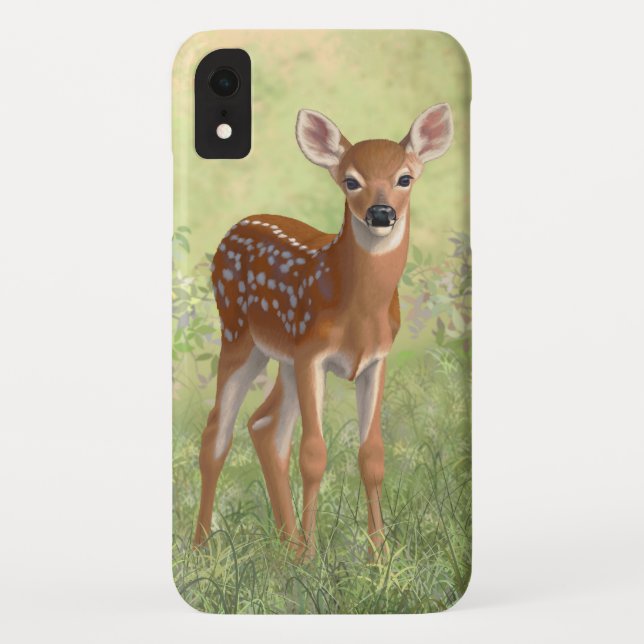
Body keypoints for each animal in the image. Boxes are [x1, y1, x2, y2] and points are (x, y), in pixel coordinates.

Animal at [193, 103, 454, 557]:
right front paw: (316, 557)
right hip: (239, 336)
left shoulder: (375, 360)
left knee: (265, 427)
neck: (359, 312)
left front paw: (378, 557)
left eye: (405, 178)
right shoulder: (312, 355)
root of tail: (237, 225)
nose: (381, 213)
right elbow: (313, 454)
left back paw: (287, 550)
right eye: (351, 181)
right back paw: (202, 549)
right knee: (217, 433)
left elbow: (372, 456)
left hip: (282, 357)